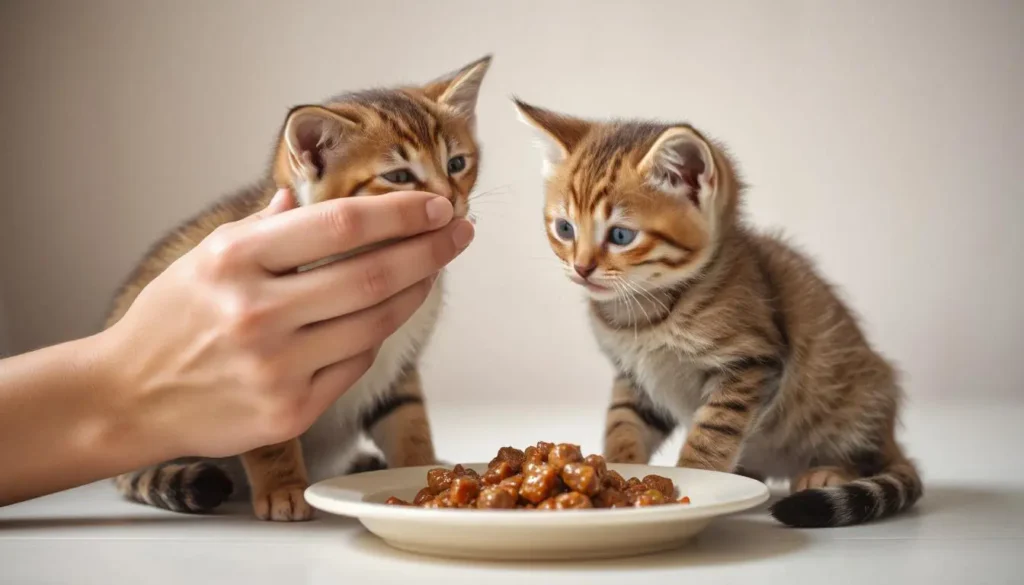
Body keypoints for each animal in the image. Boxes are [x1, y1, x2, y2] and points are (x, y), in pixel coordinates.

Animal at [105, 56, 489, 522]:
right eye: (399, 176)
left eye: (456, 164)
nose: (450, 202)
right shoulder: (253, 379)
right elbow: (268, 438)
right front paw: (283, 489)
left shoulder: (400, 363)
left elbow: (407, 418)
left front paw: (423, 469)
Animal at [516, 100, 925, 532]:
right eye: (565, 228)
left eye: (621, 236)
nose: (581, 268)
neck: (643, 313)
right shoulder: (636, 379)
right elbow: (622, 421)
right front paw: (617, 465)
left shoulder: (752, 362)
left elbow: (713, 430)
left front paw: (699, 477)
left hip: (854, 401)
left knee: (869, 457)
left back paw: (828, 471)